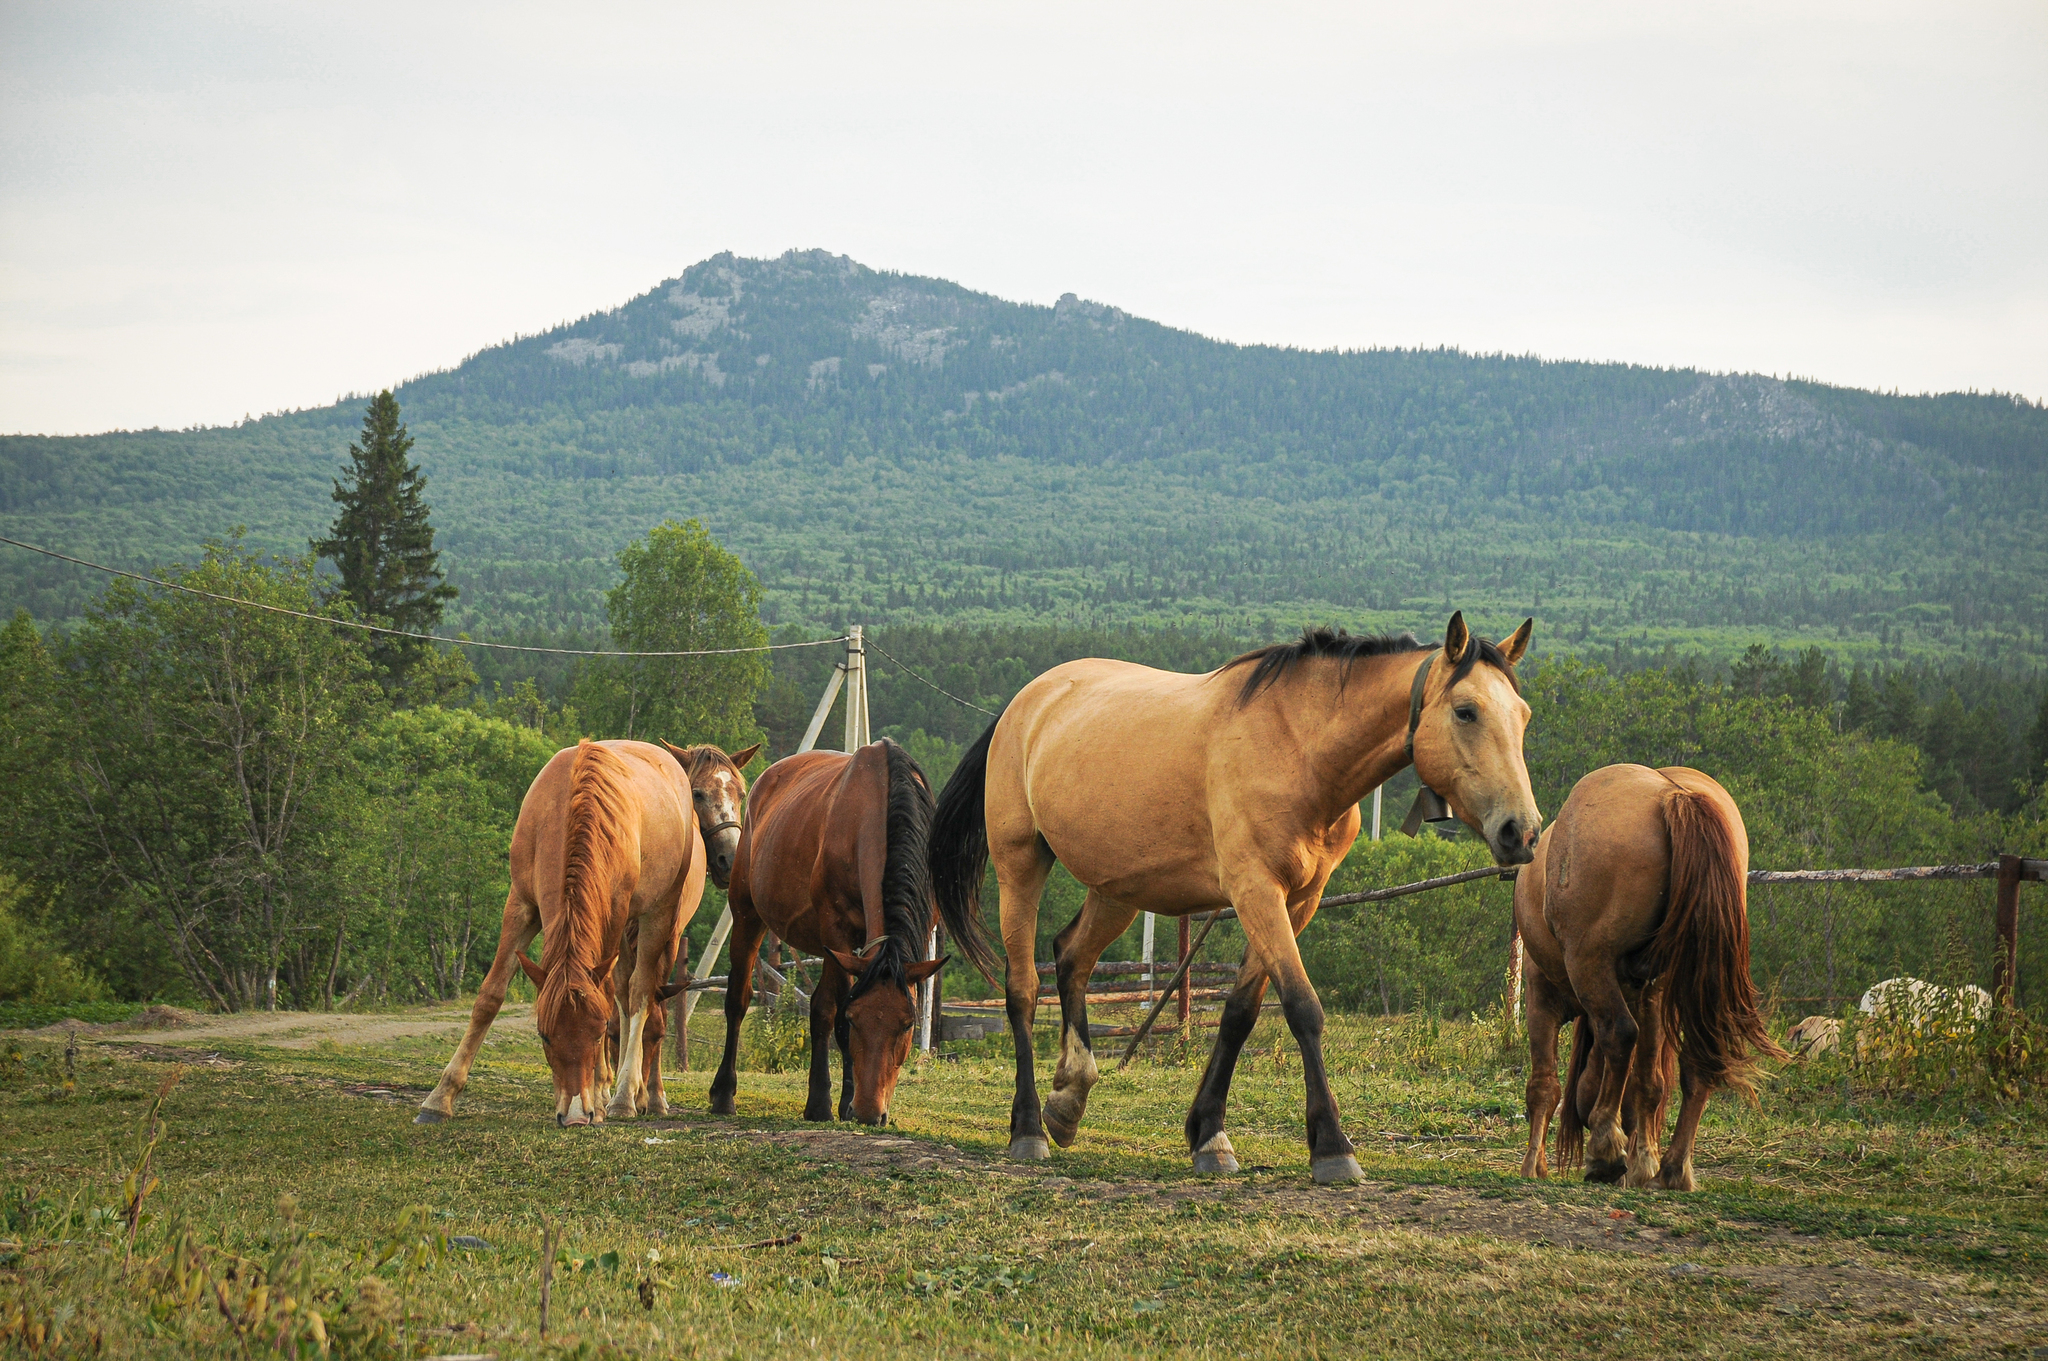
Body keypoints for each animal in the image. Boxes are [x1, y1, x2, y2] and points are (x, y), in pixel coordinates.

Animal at [415, 736, 761, 1121]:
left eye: (742, 793)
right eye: (544, 1035)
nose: (730, 859)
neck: (570, 811)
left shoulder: (614, 913)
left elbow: (622, 1003)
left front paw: (602, 1094)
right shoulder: (521, 904)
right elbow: (490, 995)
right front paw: (441, 1096)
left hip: (660, 921)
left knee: (642, 997)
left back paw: (636, 1094)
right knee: (627, 996)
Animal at [712, 732, 942, 1121]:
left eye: (908, 1024)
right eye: (855, 1020)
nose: (871, 1112)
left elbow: (826, 1010)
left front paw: (837, 1099)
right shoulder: (837, 930)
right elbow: (836, 1013)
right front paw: (845, 1099)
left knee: (818, 1007)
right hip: (747, 913)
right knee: (738, 1001)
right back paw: (724, 1093)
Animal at [929, 609, 1540, 1187]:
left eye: (1524, 715)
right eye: (1466, 711)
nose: (1523, 832)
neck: (1298, 746)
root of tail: (1023, 703)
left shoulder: (1298, 901)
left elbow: (1241, 1012)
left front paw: (1209, 1134)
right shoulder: (1255, 890)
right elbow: (1301, 1007)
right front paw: (1332, 1147)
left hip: (1117, 888)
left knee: (1072, 958)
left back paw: (1069, 1100)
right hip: (1021, 865)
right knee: (1023, 988)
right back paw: (1029, 1127)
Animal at [1515, 765, 1785, 1187]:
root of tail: (1674, 795)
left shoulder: (1542, 995)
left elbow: (1544, 1085)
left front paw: (1534, 1165)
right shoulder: (1649, 991)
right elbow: (1648, 1080)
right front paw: (1643, 1159)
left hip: (1591, 962)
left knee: (1620, 1035)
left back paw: (1606, 1147)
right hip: (1693, 985)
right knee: (1697, 1064)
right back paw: (1672, 1169)